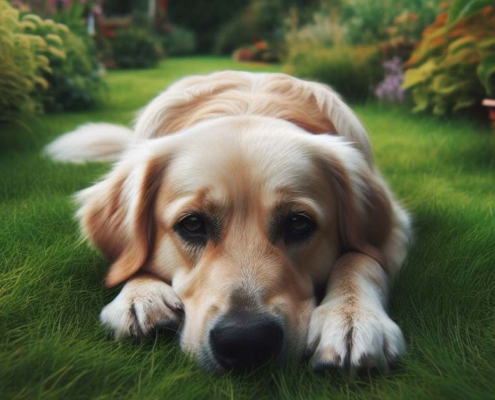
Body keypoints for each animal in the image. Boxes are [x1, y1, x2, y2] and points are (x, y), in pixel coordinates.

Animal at [45, 71, 410, 376]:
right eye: (192, 224)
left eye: (298, 223)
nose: (246, 341)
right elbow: (133, 259)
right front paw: (139, 295)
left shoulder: (395, 227)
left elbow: (361, 257)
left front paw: (352, 318)